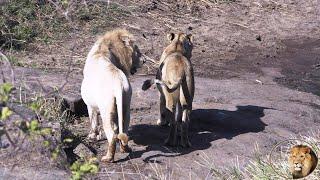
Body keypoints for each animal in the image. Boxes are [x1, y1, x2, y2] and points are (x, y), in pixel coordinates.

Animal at [80, 29, 144, 162]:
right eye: (136, 50)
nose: (144, 61)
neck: (103, 49)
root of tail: (118, 83)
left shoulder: (90, 105)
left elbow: (93, 121)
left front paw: (92, 136)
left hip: (106, 109)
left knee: (112, 135)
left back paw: (108, 158)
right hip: (126, 104)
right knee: (123, 130)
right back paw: (125, 149)